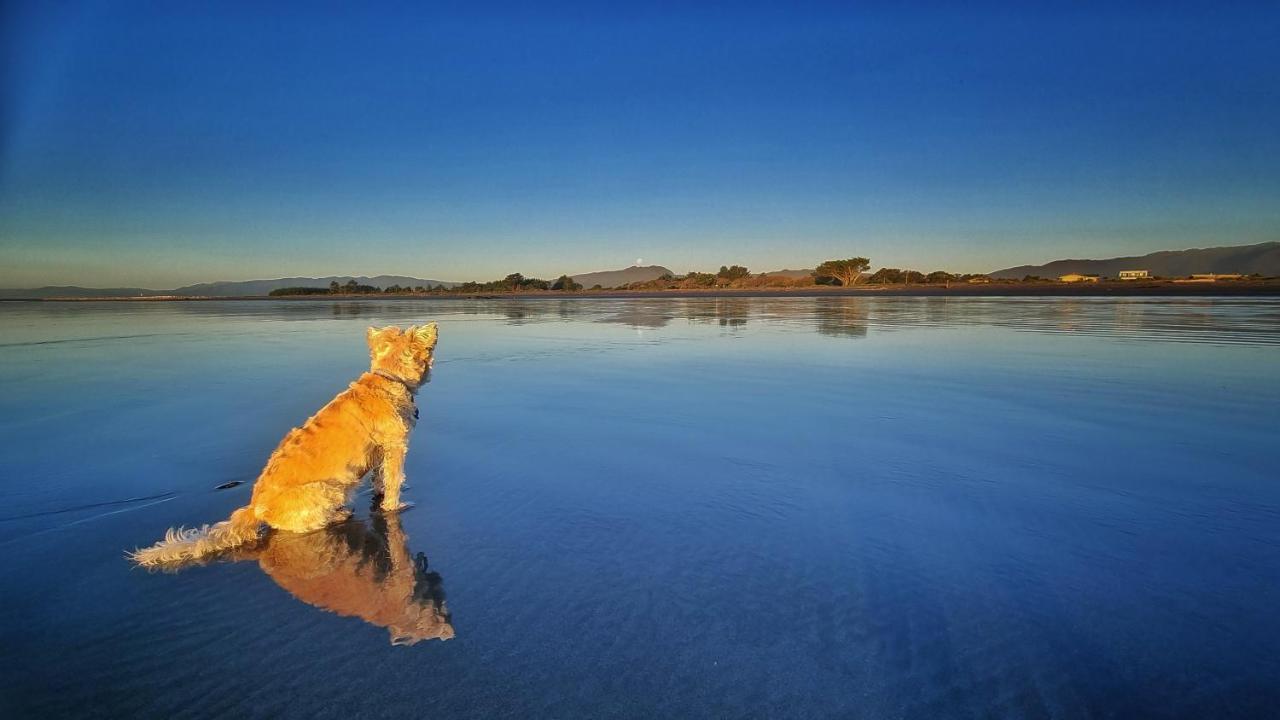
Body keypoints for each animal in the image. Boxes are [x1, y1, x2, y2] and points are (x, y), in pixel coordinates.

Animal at [131, 324, 437, 566]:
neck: (387, 378)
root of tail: (254, 508)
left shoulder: (379, 451)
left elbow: (379, 478)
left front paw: (381, 492)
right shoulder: (396, 447)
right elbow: (394, 480)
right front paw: (395, 505)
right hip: (326, 490)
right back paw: (339, 515)